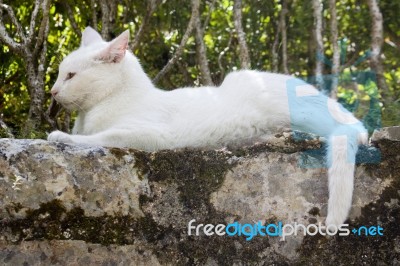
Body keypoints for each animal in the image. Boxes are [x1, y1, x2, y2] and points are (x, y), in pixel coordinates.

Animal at [47, 27, 368, 227]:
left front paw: (59, 136)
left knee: (352, 127)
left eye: (71, 76)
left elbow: (99, 137)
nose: (52, 91)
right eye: (60, 73)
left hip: (297, 110)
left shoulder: (151, 134)